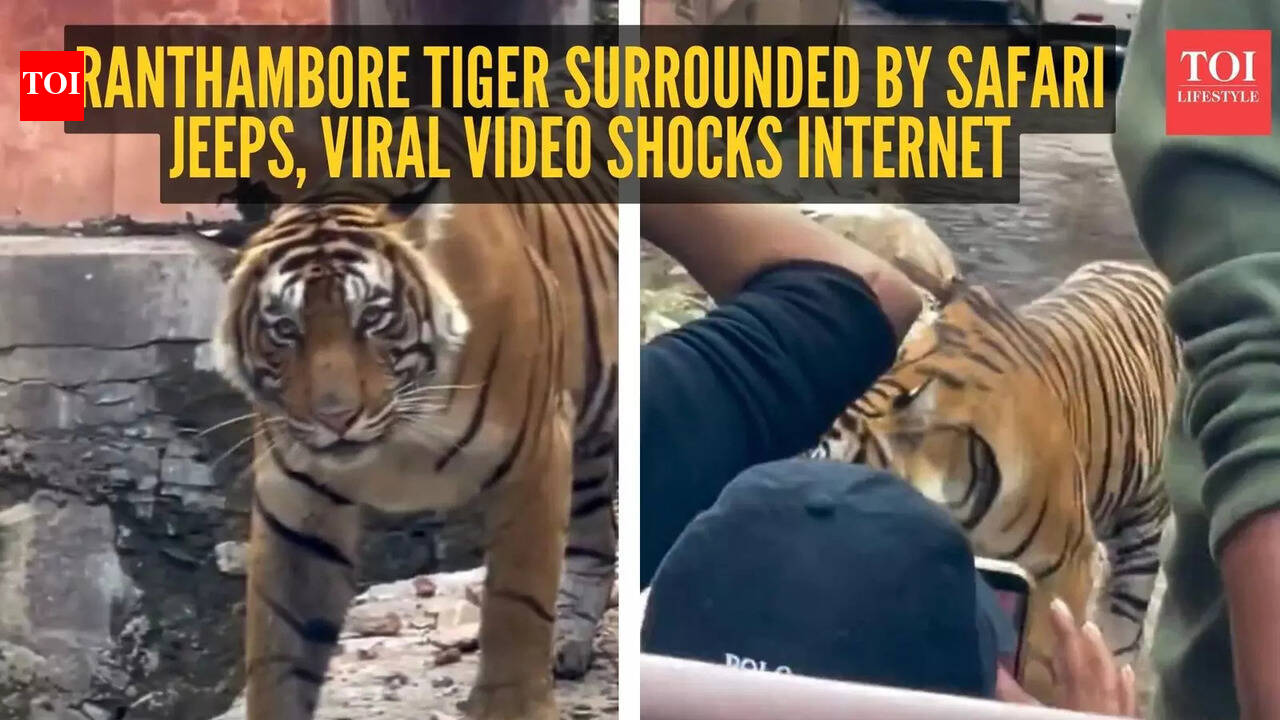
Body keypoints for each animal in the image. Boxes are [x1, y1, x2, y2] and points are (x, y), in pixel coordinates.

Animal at [209, 179, 616, 717]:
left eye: (372, 317)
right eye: (285, 329)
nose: (335, 417)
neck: (399, 438)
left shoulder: (535, 454)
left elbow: (517, 601)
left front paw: (511, 707)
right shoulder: (296, 504)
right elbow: (279, 646)